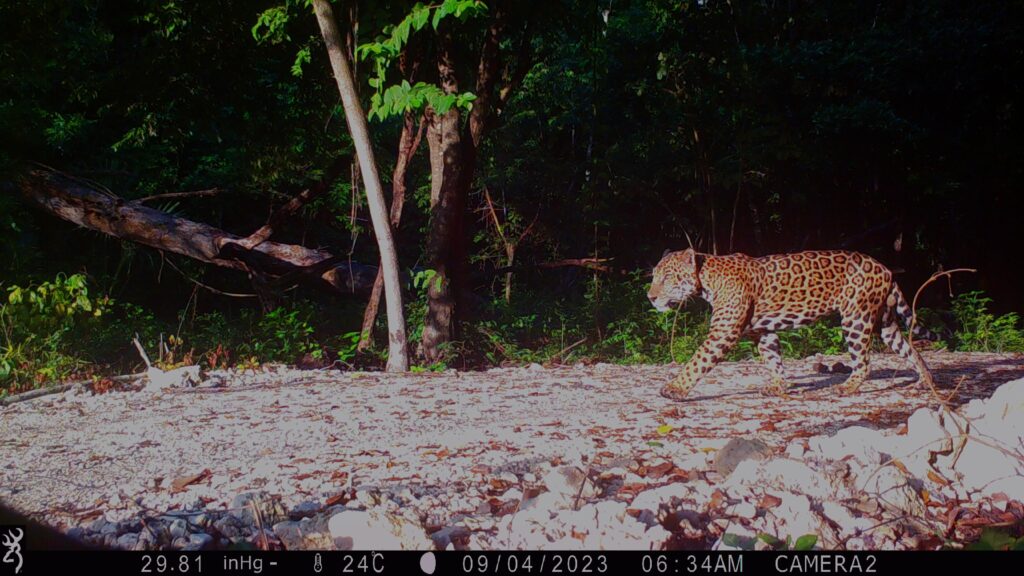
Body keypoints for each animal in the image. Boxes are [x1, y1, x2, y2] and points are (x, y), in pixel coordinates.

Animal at [647, 248, 937, 401]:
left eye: (668, 277)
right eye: (654, 276)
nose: (650, 297)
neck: (707, 279)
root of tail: (884, 267)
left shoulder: (723, 331)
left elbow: (698, 360)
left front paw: (675, 388)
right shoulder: (763, 332)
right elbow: (773, 359)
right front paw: (779, 386)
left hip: (856, 317)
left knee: (864, 362)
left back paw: (847, 387)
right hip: (883, 321)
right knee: (909, 348)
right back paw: (925, 381)